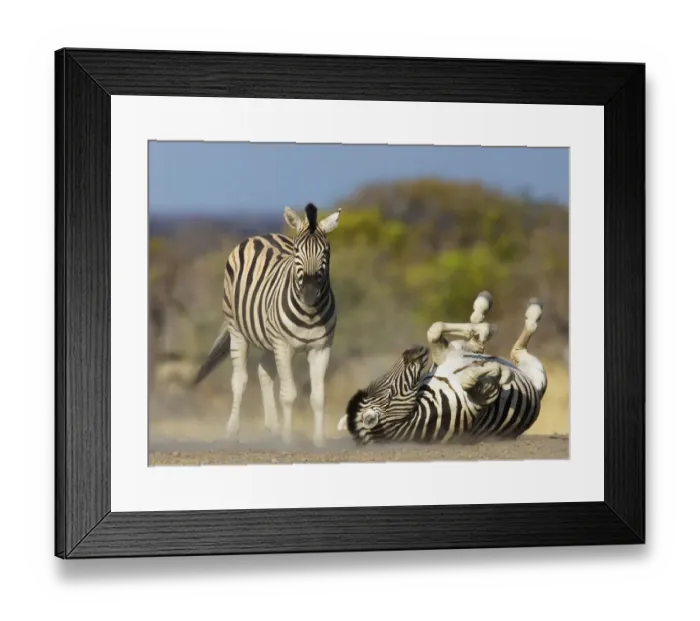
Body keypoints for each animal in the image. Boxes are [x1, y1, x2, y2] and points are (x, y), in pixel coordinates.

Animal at [193, 203, 342, 447]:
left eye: (325, 251)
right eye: (297, 251)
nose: (310, 292)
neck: (310, 313)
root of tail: (262, 235)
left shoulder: (321, 347)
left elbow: (319, 397)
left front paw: (319, 441)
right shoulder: (283, 345)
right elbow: (289, 394)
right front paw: (289, 440)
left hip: (268, 338)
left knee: (264, 371)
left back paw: (274, 427)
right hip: (238, 330)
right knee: (240, 380)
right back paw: (232, 431)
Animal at [340, 292, 548, 445]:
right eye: (390, 395)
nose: (411, 350)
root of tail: (537, 389)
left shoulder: (444, 354)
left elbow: (434, 329)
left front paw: (483, 331)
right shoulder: (482, 399)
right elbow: (480, 378)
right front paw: (499, 372)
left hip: (460, 349)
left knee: (476, 341)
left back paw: (484, 313)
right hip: (537, 373)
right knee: (517, 347)